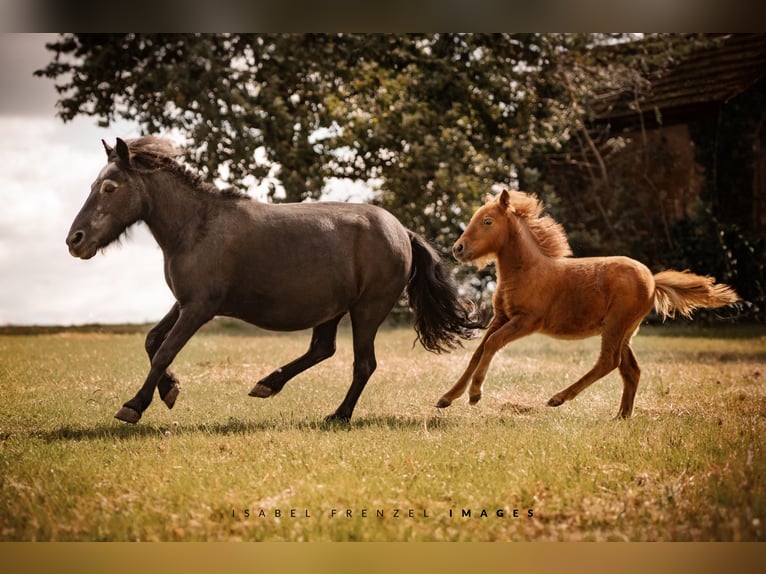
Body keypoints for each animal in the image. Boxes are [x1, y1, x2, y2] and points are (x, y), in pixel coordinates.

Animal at [66, 135, 476, 424]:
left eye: (110, 188)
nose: (75, 240)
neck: (196, 227)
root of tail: (402, 231)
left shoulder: (200, 308)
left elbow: (165, 350)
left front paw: (134, 405)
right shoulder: (185, 302)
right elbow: (152, 341)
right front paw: (170, 390)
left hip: (368, 309)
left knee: (363, 364)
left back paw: (338, 415)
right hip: (333, 309)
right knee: (322, 349)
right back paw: (267, 384)